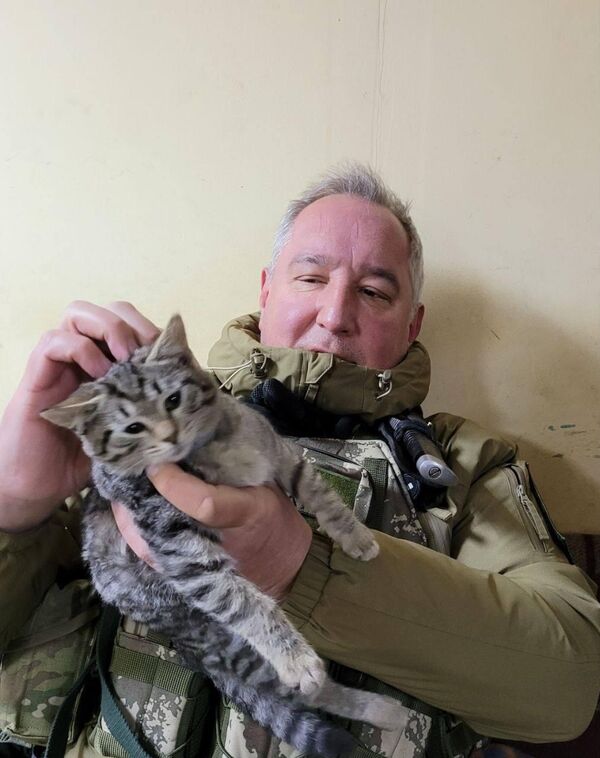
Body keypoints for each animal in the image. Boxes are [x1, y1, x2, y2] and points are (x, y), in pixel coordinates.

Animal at [41, 314, 406, 757]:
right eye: (132, 427)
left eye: (173, 400)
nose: (169, 435)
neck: (215, 447)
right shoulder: (180, 548)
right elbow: (243, 600)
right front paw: (293, 656)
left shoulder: (279, 452)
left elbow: (317, 492)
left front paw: (355, 537)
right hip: (218, 634)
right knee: (298, 690)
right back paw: (368, 704)